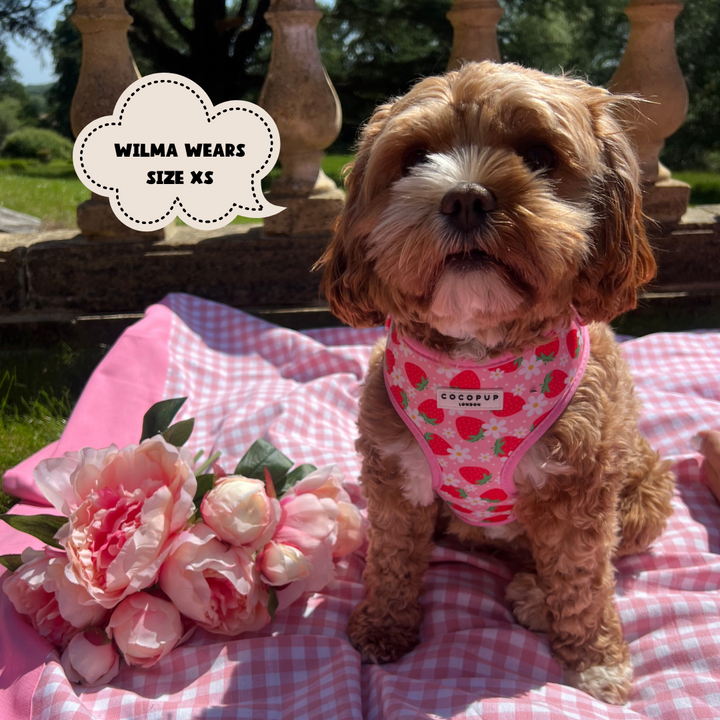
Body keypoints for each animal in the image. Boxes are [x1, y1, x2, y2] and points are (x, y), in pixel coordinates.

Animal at [316, 62, 676, 704]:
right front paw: (383, 624)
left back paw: (533, 595)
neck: (476, 361)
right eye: (414, 157)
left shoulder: (578, 491)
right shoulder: (396, 473)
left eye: (539, 154)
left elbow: (584, 582)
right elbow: (392, 559)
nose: (464, 198)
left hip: (645, 494)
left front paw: (596, 659)